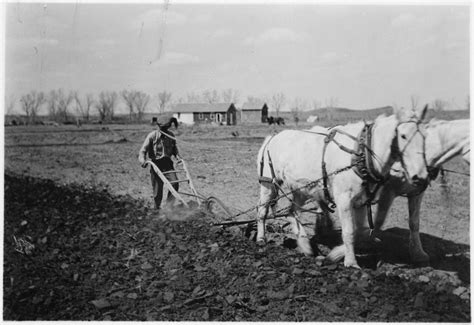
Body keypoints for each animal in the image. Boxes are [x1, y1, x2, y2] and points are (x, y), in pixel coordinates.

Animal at [256, 105, 430, 268]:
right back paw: (261, 238)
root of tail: (271, 138)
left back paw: (305, 244)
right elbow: (349, 231)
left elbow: (360, 230)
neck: (361, 153)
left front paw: (337, 254)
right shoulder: (344, 199)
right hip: (268, 185)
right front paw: (350, 262)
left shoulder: (362, 201)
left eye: (425, 136)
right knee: (263, 211)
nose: (421, 176)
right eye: (403, 135)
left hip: (302, 189)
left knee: (292, 211)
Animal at [330, 118, 470, 264]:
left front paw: (418, 253)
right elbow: (378, 222)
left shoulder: (417, 193)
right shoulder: (388, 191)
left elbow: (414, 223)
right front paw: (338, 253)